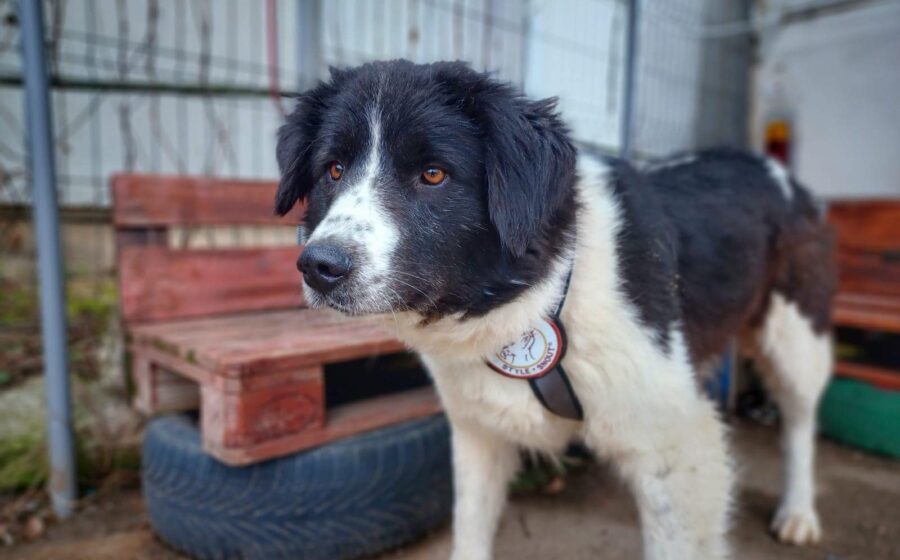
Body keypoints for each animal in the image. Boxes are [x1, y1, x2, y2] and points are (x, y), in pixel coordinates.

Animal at [275, 60, 835, 559]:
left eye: (433, 174)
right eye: (333, 170)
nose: (319, 266)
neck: (543, 296)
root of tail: (775, 170)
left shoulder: (681, 447)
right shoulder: (479, 432)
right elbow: (470, 530)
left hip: (795, 340)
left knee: (801, 422)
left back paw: (799, 512)